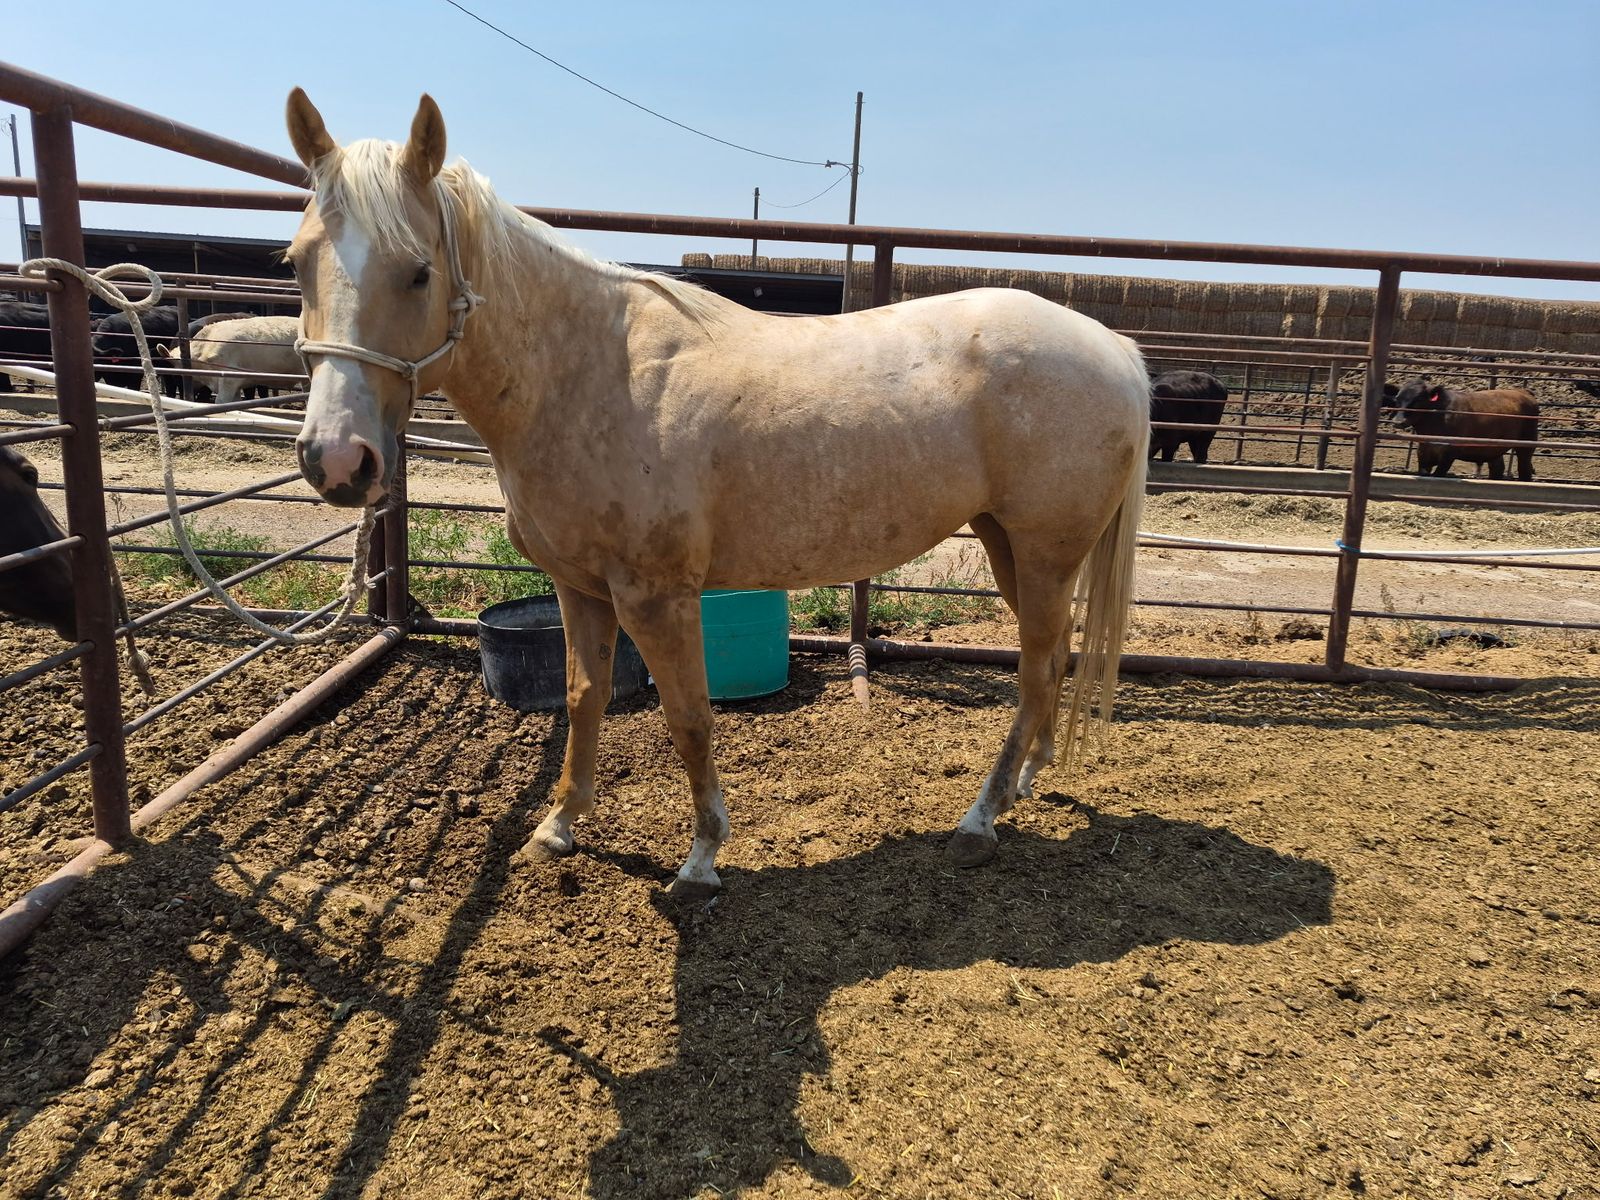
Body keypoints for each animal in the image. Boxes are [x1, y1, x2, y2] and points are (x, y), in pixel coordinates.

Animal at [282, 90, 1150, 898]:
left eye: (418, 271)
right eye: (295, 262)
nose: (337, 459)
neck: (589, 372)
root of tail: (1115, 349)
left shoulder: (656, 596)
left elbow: (690, 717)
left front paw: (701, 858)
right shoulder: (580, 588)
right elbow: (583, 697)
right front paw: (560, 825)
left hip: (1043, 551)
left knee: (1036, 669)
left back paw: (981, 818)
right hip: (1010, 544)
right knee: (1054, 660)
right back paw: (1027, 780)